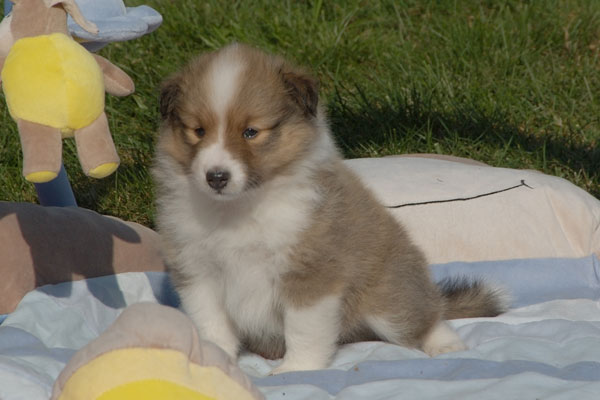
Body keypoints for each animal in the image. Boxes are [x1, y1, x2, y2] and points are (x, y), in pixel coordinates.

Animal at [152, 43, 507, 374]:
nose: (216, 177)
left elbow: (303, 331)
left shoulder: (311, 273)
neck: (240, 207)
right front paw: (213, 362)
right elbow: (211, 325)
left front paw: (296, 369)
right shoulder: (198, 271)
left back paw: (445, 344)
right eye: (198, 130)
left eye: (251, 132)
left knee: (428, 316)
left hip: (388, 301)